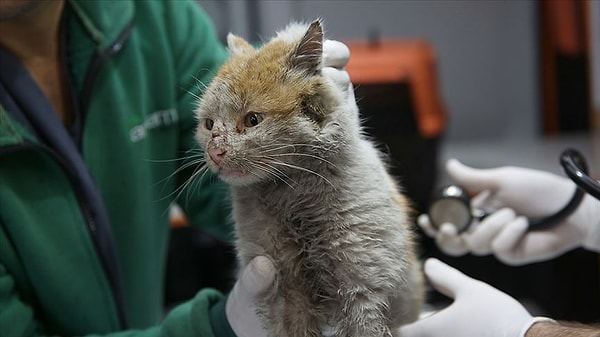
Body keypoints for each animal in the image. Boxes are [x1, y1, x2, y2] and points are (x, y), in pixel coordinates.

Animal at [195, 20, 424, 336]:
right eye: (209, 124)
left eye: (253, 120)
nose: (215, 151)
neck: (293, 196)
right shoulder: (283, 288)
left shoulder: (364, 286)